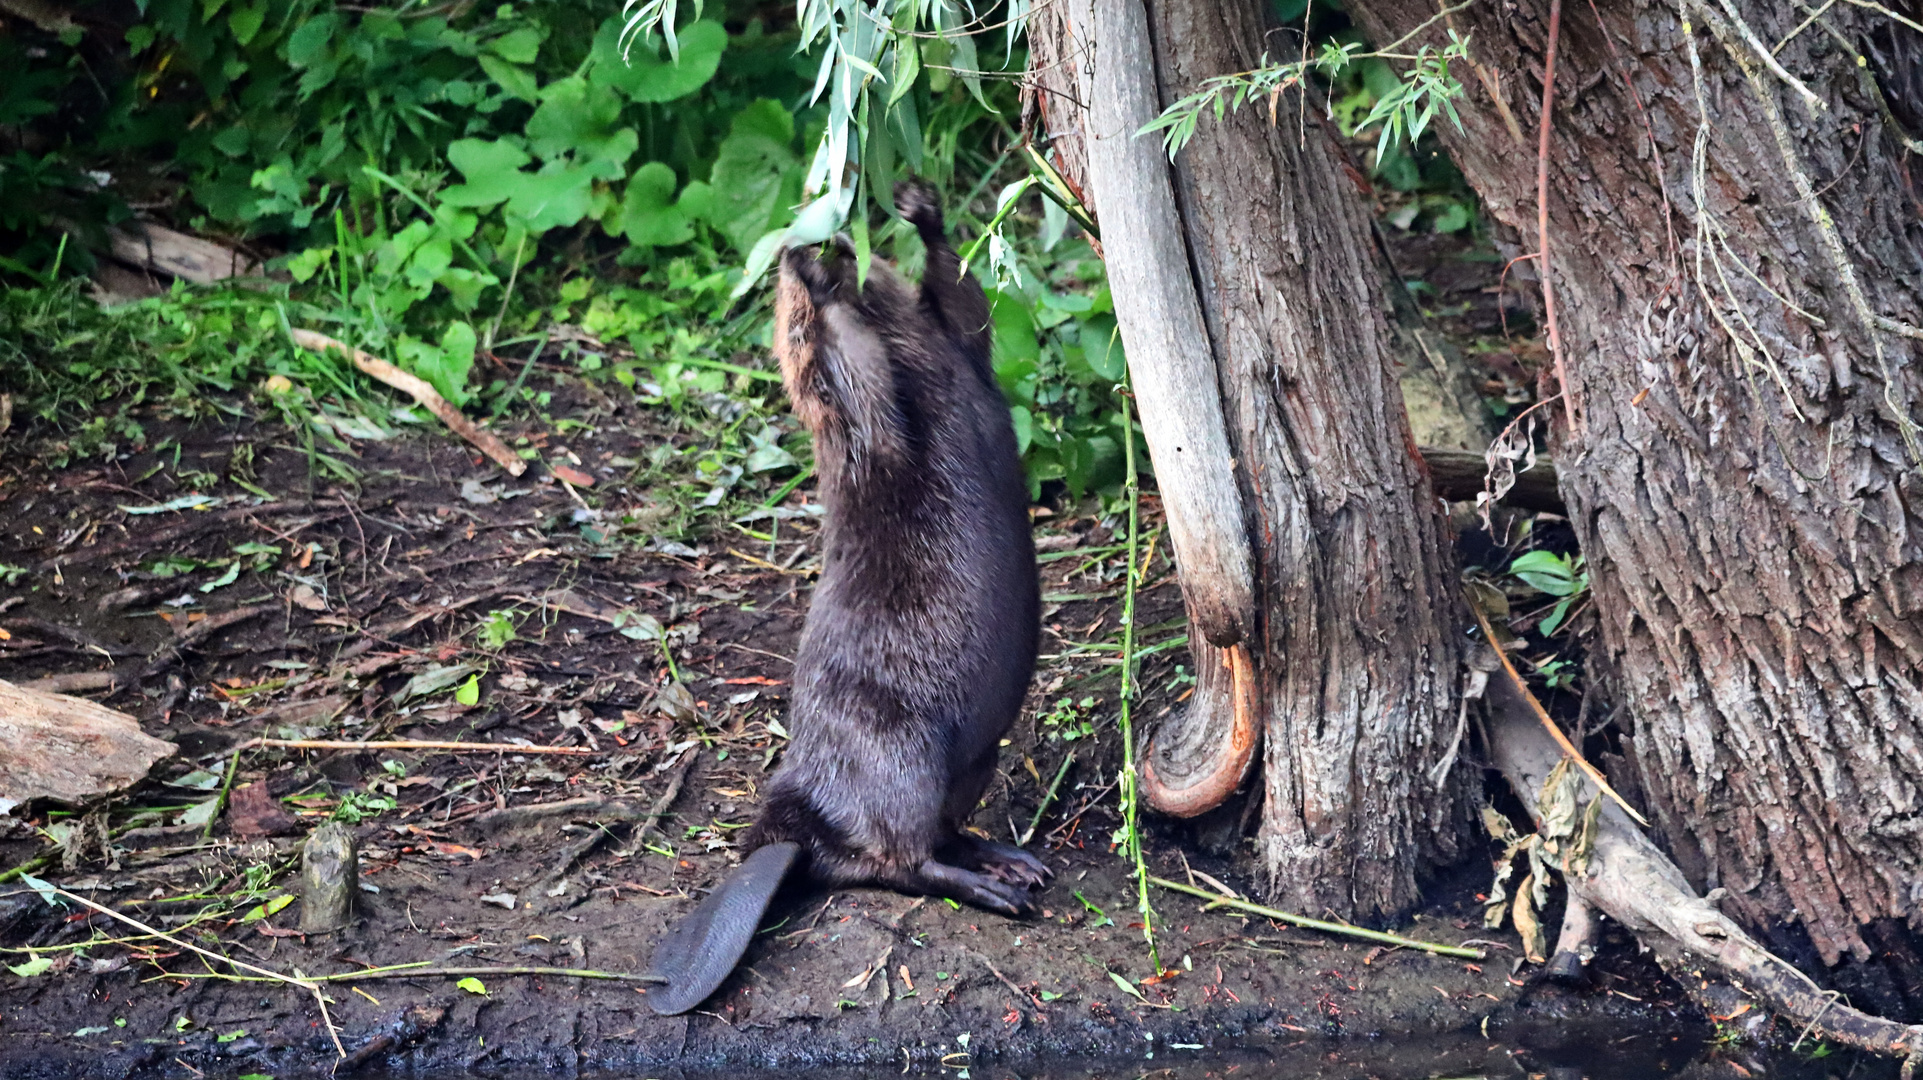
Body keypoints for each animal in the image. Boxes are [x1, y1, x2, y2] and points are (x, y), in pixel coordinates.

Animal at [642, 180, 1038, 1014]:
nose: (815, 238)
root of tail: (790, 835)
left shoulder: (951, 341)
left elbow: (963, 308)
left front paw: (913, 209)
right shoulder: (848, 415)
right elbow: (856, 387)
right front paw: (813, 272)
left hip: (971, 762)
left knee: (930, 836)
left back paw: (1009, 858)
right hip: (897, 753)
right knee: (897, 862)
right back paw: (996, 888)